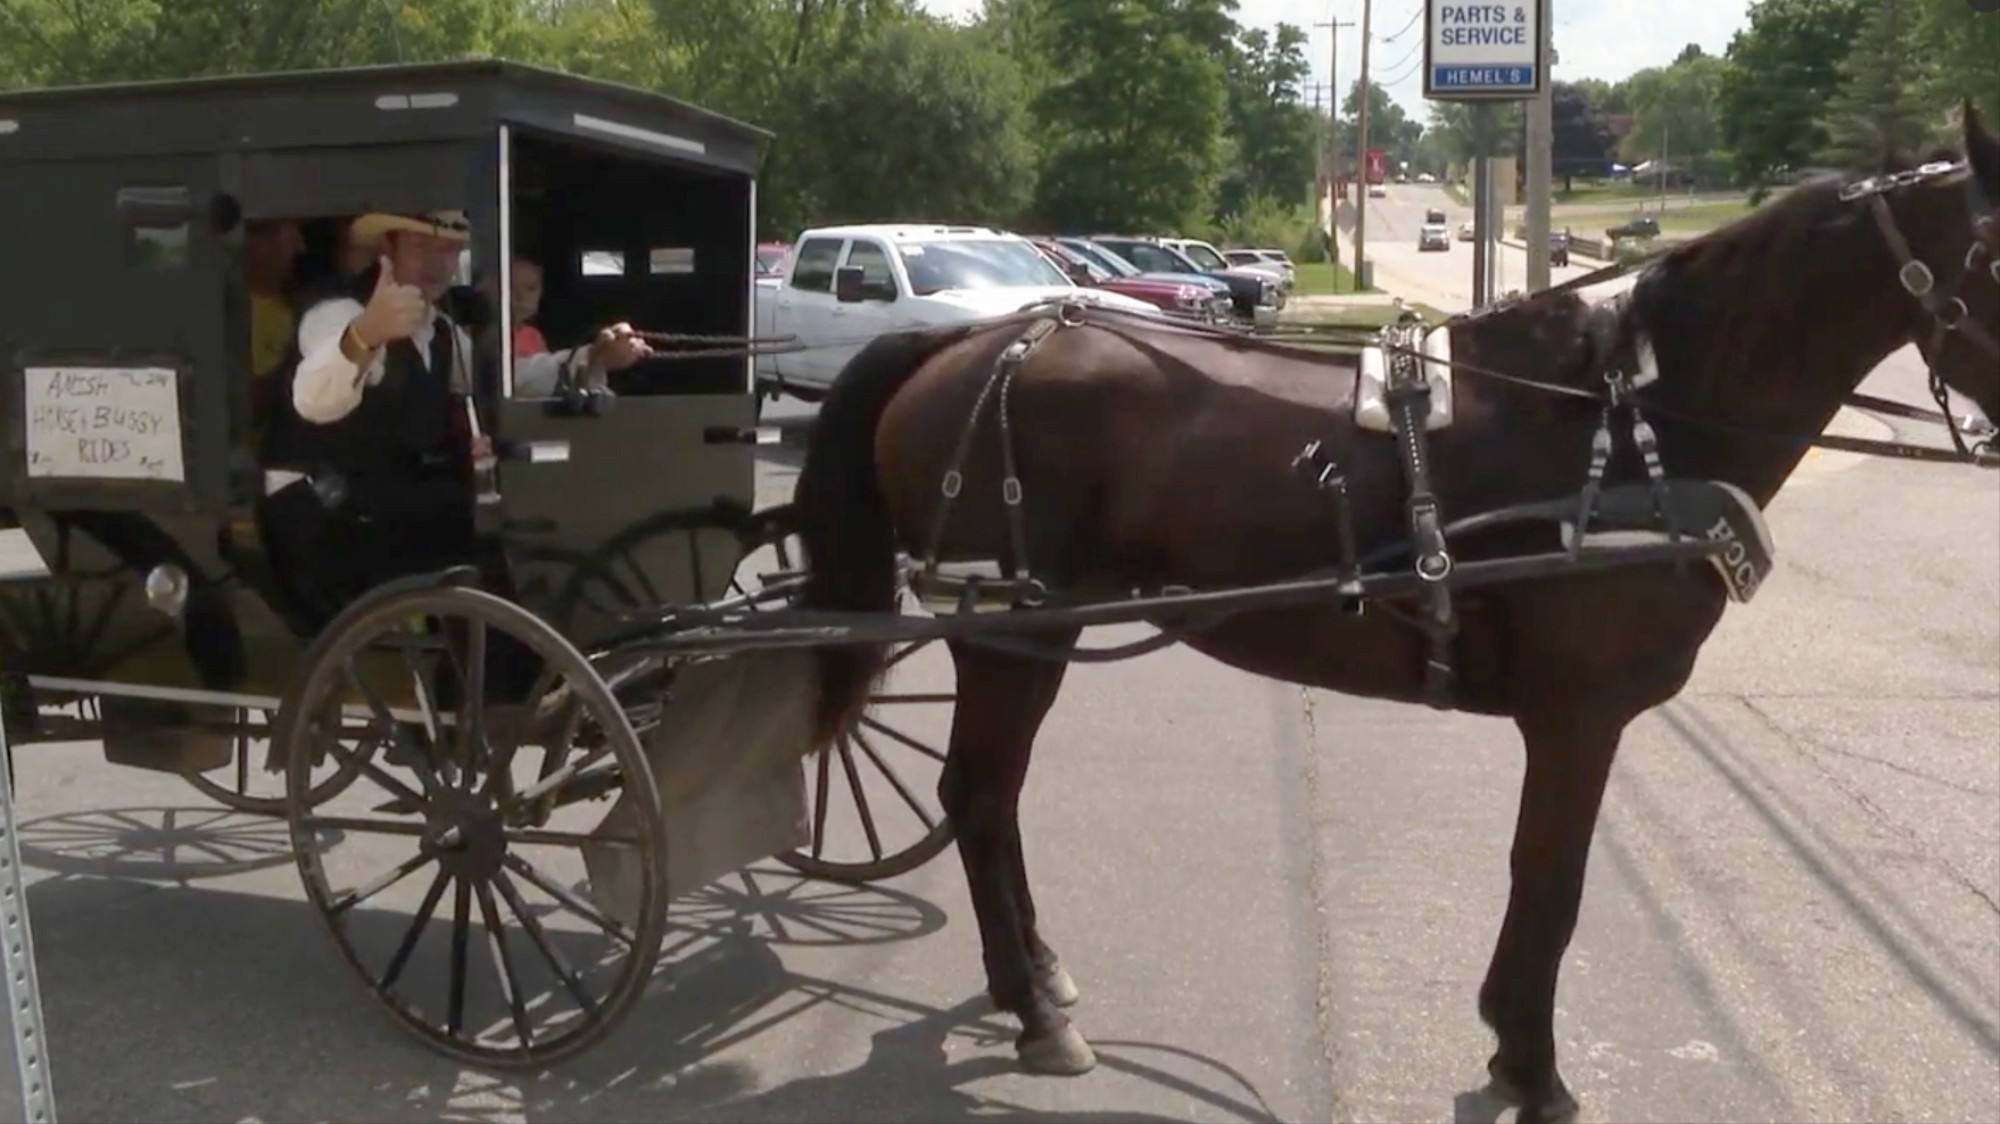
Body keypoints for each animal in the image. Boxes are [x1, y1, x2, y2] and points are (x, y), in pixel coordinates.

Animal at [784, 107, 2000, 1120]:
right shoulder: (1579, 716)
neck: (1629, 432)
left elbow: (1540, 883)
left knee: (986, 799)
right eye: (1993, 253)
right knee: (978, 796)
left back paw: (1033, 979)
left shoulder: (1572, 720)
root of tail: (964, 343)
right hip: (1015, 626)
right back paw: (1036, 1013)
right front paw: (1533, 1068)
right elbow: (1551, 884)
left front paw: (1512, 1043)